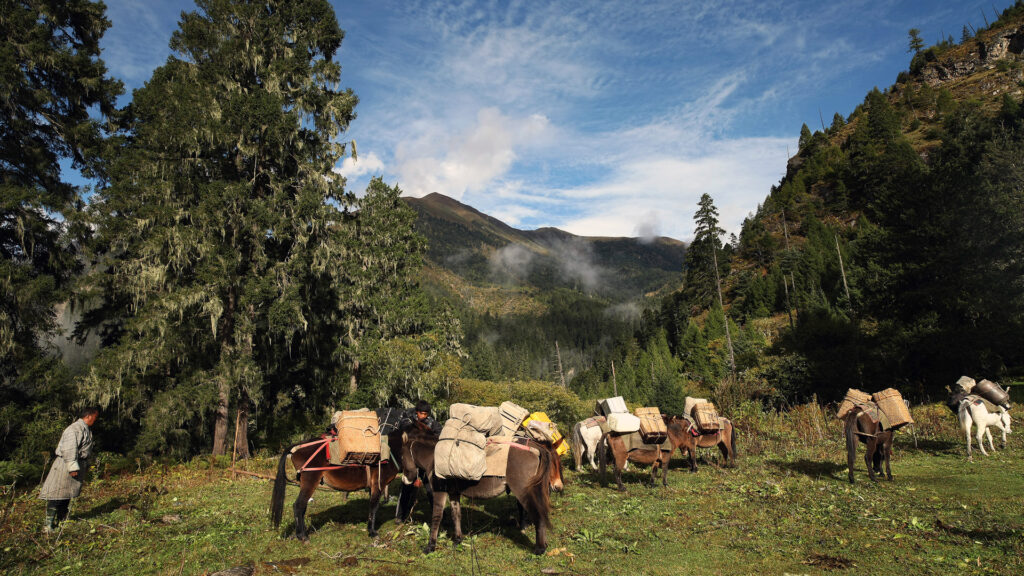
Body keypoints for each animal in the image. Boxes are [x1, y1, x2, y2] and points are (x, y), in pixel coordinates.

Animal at [270, 430, 401, 537]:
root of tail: (297, 447)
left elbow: (372, 506)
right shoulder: (378, 484)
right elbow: (374, 506)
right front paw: (372, 532)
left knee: (302, 507)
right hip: (310, 481)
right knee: (298, 505)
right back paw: (302, 536)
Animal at [399, 424, 561, 553]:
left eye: (401, 457)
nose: (405, 480)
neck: (435, 457)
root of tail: (535, 447)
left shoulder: (440, 492)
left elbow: (436, 517)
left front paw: (430, 546)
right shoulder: (454, 493)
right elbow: (456, 514)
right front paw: (457, 540)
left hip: (523, 492)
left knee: (538, 515)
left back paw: (539, 549)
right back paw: (543, 545)